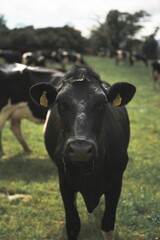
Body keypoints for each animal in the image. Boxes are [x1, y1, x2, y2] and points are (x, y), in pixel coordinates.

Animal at [29, 65, 135, 240]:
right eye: (60, 104)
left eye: (102, 104)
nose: (80, 149)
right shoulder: (64, 181)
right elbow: (73, 226)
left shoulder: (116, 182)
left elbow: (108, 226)